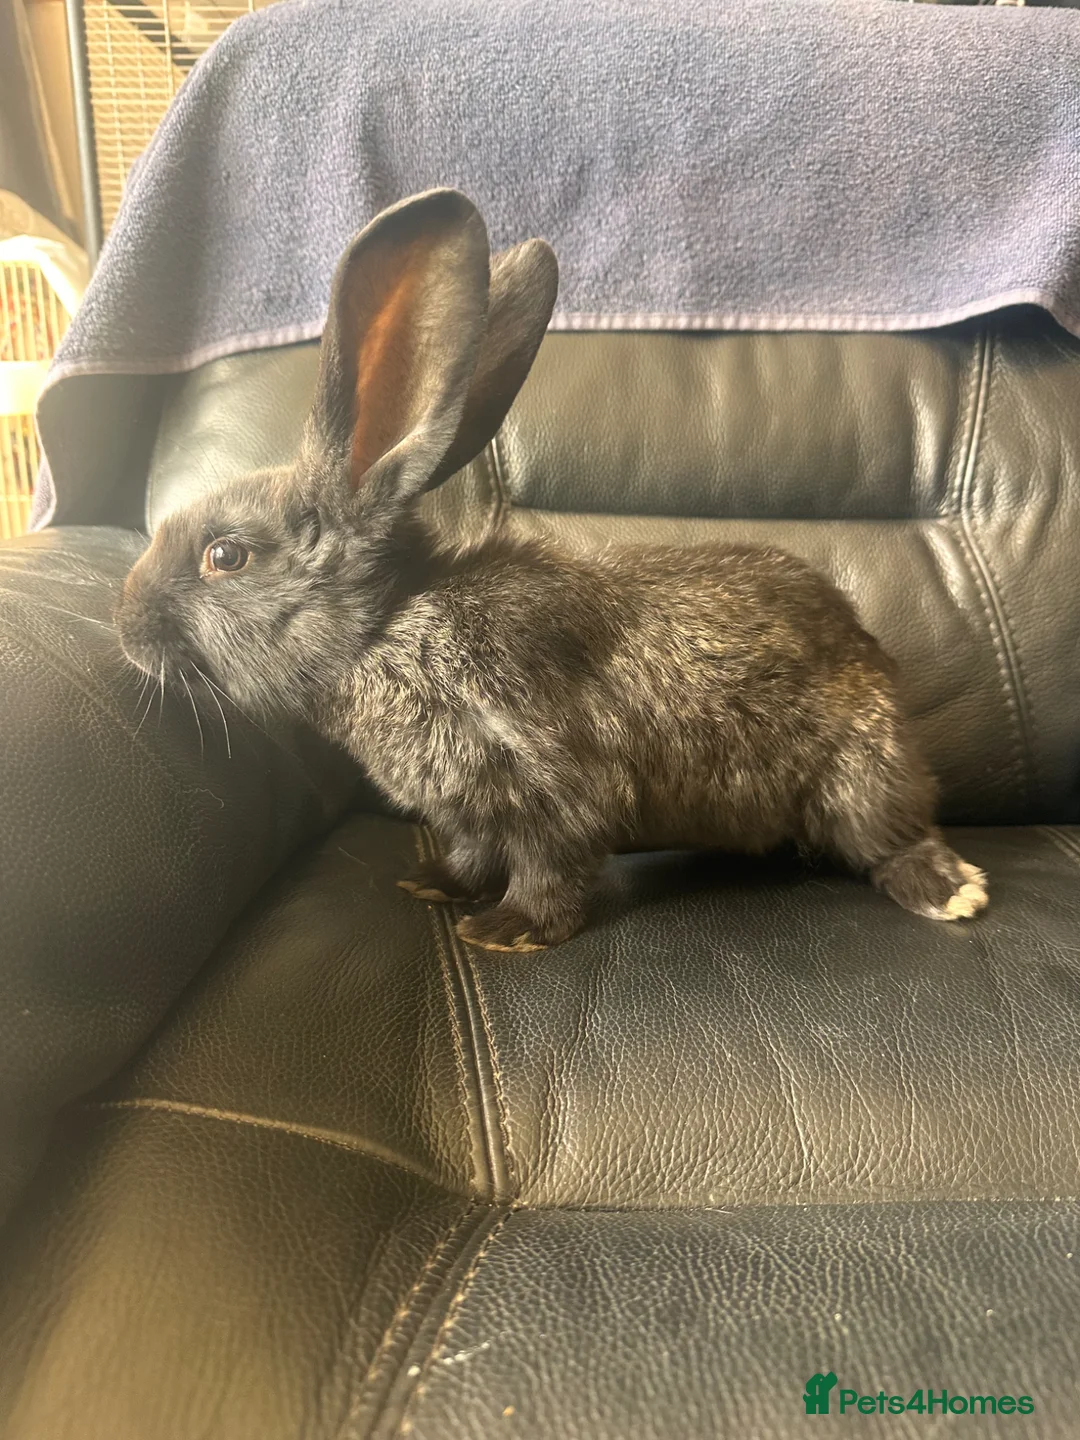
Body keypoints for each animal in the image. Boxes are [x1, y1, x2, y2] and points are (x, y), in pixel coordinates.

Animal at [117, 187, 988, 952]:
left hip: (862, 772)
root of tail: (873, 656)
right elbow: (472, 854)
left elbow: (549, 866)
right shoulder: (467, 810)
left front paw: (506, 932)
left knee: (893, 836)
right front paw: (436, 887)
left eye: (225, 556)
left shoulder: (552, 782)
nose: (125, 627)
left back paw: (952, 892)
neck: (386, 629)